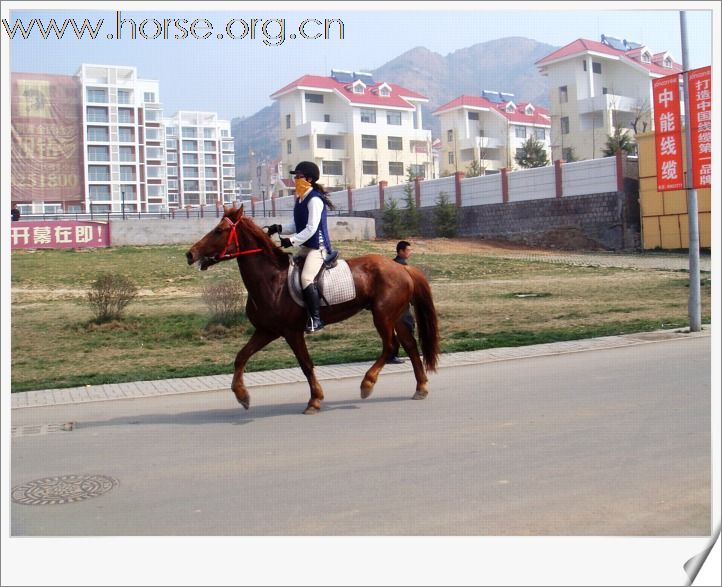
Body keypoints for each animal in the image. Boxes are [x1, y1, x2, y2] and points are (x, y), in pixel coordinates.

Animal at [186, 204, 438, 416]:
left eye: (219, 231)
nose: (190, 254)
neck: (272, 280)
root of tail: (402, 268)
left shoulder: (291, 331)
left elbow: (306, 365)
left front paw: (314, 400)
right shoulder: (267, 331)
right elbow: (241, 357)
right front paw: (242, 396)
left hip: (382, 316)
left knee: (390, 346)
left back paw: (367, 384)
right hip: (395, 315)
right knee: (410, 346)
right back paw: (421, 387)